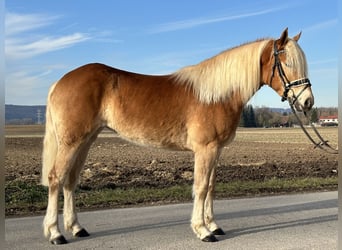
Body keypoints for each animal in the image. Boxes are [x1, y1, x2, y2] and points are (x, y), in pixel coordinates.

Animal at [42, 27, 312, 244]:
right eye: (287, 63)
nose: (308, 102)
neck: (216, 95)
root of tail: (59, 82)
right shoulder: (205, 149)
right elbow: (200, 187)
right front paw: (203, 230)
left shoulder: (216, 150)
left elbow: (211, 186)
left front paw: (214, 225)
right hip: (72, 142)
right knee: (56, 178)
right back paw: (55, 233)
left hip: (86, 141)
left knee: (70, 180)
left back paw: (76, 228)